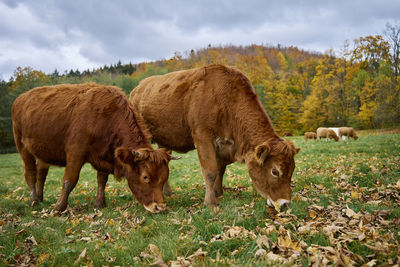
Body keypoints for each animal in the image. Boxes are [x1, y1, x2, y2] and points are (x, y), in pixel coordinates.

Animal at [12, 84, 172, 214]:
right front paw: (59, 208)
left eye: (164, 177)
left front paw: (99, 203)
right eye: (145, 177)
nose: (159, 207)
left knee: (41, 172)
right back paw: (34, 200)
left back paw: (39, 197)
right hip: (22, 146)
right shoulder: (75, 153)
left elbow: (102, 180)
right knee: (31, 173)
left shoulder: (104, 153)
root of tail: (21, 98)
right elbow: (69, 181)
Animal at [130, 65, 300, 209]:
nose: (285, 203)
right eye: (275, 171)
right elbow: (210, 171)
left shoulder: (224, 146)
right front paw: (210, 202)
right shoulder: (203, 137)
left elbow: (220, 169)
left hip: (164, 141)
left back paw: (167, 192)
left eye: (292, 169)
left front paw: (219, 193)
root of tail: (137, 88)